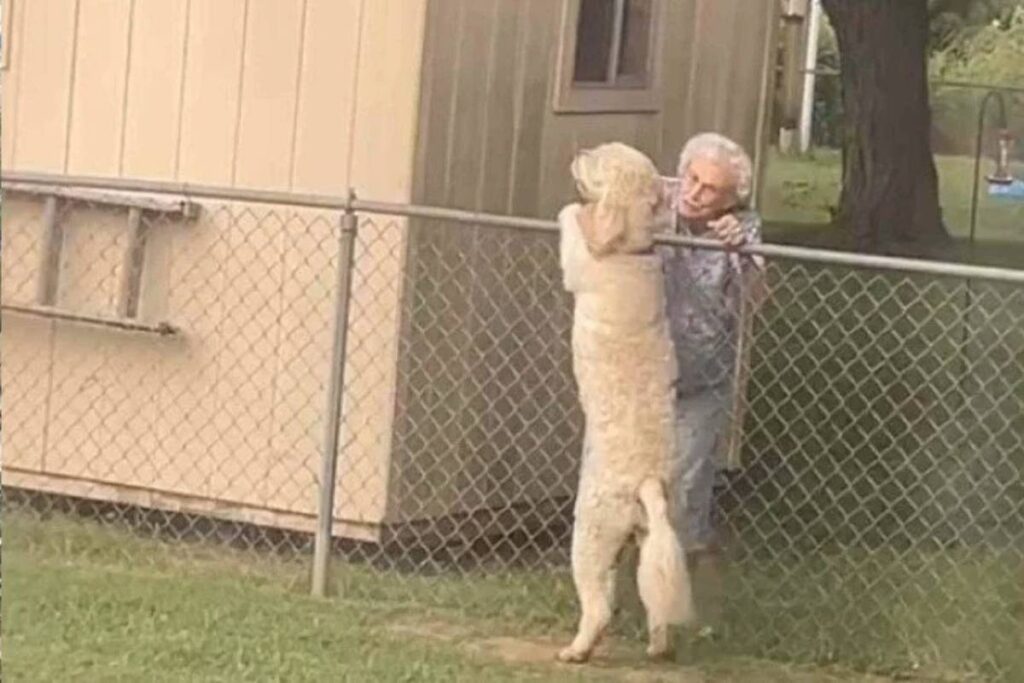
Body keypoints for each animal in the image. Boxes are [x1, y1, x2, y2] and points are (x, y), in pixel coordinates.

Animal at [556, 143, 694, 663]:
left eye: (597, 161)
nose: (579, 150)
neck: (631, 250)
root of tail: (648, 483)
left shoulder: (582, 264)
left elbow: (575, 233)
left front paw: (572, 211)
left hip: (591, 536)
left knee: (598, 606)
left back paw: (576, 650)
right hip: (652, 538)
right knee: (656, 601)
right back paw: (657, 646)